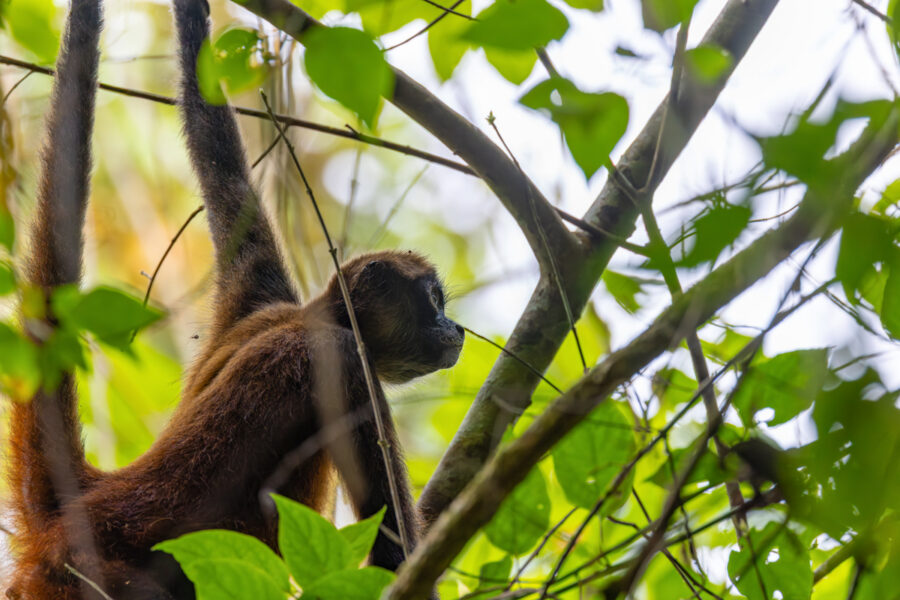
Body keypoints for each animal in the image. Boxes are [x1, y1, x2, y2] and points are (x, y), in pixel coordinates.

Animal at [6, 0, 464, 598]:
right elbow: (396, 555)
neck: (309, 318)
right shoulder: (344, 364)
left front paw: (193, 17)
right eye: (433, 300)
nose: (455, 329)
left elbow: (216, 150)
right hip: (90, 577)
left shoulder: (260, 296)